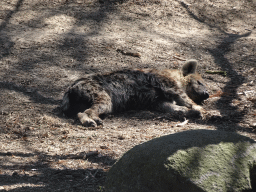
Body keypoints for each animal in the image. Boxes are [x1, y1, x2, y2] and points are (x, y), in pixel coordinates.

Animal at [62, 59, 210, 127]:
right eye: (200, 82)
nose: (207, 94)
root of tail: (70, 87)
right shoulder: (169, 85)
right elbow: (187, 100)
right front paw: (204, 111)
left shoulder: (157, 102)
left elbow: (176, 108)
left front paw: (193, 112)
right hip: (104, 97)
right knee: (87, 111)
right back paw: (92, 120)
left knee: (81, 112)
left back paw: (92, 120)